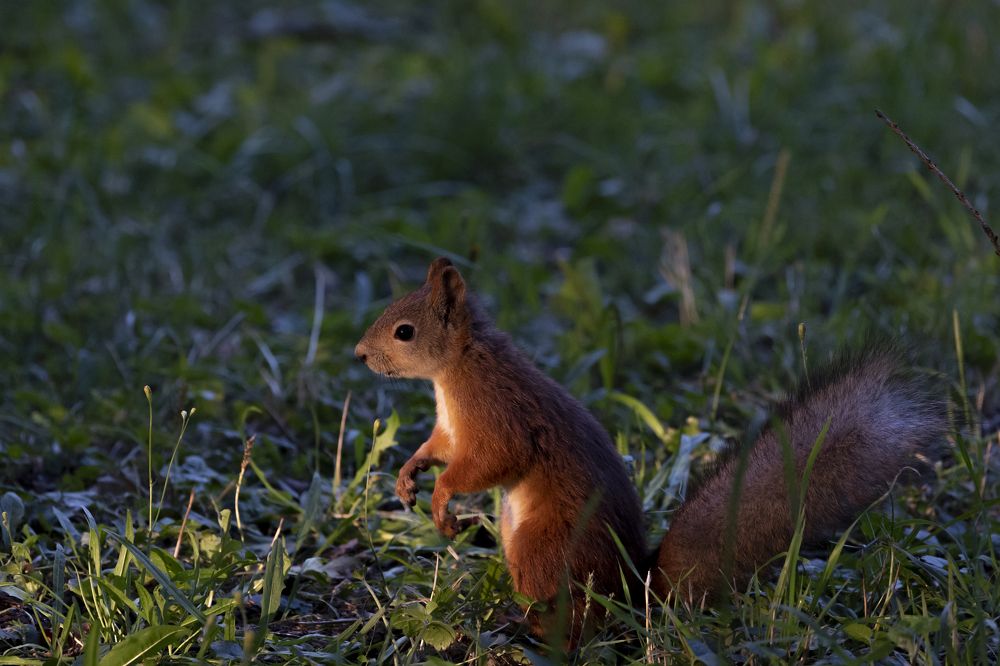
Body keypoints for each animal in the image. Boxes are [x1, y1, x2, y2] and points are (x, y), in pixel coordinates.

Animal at [354, 257, 947, 644]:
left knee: (577, 623)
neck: (459, 364)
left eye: (404, 331)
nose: (359, 355)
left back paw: (528, 632)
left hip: (544, 548)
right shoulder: (451, 428)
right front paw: (408, 474)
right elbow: (438, 447)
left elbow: (492, 461)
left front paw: (442, 499)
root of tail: (632, 590)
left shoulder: (500, 416)